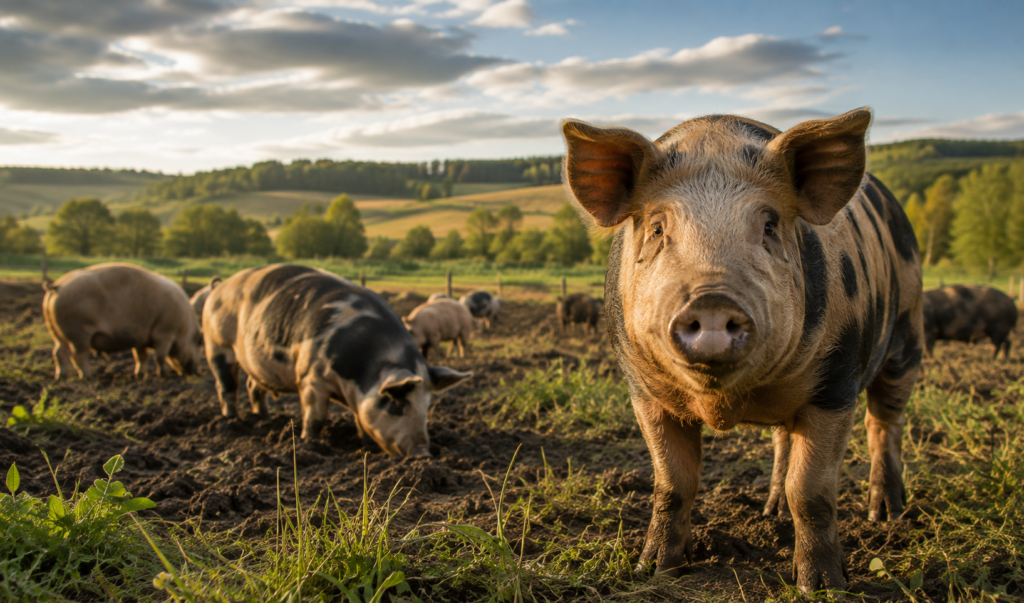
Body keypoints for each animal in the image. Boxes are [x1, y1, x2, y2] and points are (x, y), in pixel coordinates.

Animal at [42, 262, 202, 379]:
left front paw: (140, 375)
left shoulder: (141, 339)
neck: (185, 328)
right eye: (198, 343)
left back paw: (61, 377)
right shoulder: (165, 333)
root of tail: (57, 286)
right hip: (79, 331)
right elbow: (160, 357)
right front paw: (162, 375)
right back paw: (88, 377)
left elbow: (141, 357)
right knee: (77, 355)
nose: (196, 372)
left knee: (58, 353)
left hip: (56, 332)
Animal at [202, 264, 471, 455]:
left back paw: (265, 420)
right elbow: (316, 416)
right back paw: (232, 421)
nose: (423, 454)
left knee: (253, 386)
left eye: (426, 406)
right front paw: (308, 443)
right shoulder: (310, 377)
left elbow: (361, 420)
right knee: (226, 386)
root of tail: (218, 287)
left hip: (256, 363)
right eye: (396, 404)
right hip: (217, 344)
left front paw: (367, 446)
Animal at [563, 108, 923, 594]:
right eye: (657, 228)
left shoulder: (835, 383)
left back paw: (886, 515)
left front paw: (821, 588)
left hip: (907, 336)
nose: (712, 300)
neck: (726, 400)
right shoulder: (644, 390)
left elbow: (811, 491)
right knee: (784, 439)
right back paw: (771, 511)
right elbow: (673, 484)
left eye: (769, 225)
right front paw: (654, 570)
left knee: (884, 423)